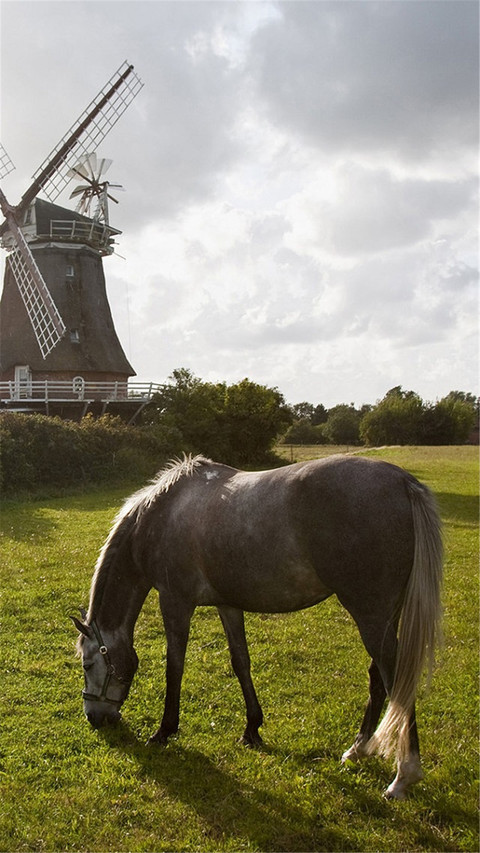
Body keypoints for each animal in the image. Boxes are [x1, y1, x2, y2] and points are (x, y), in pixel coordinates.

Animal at [72, 453, 443, 800]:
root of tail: (403, 482)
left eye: (87, 664)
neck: (160, 516)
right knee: (378, 678)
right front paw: (252, 728)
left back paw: (403, 775)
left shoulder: (175, 602)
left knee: (395, 680)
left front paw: (164, 731)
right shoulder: (228, 605)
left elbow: (174, 667)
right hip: (383, 616)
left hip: (371, 616)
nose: (94, 717)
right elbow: (241, 662)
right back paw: (358, 749)